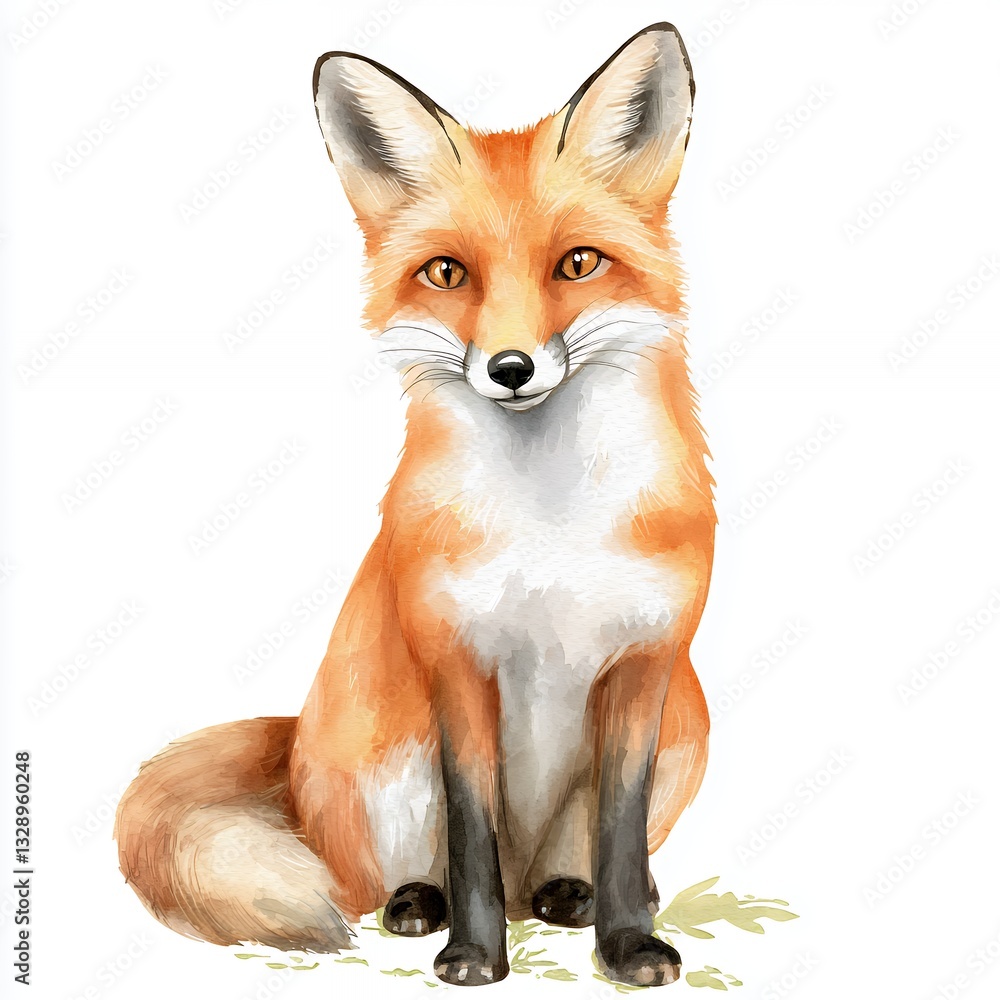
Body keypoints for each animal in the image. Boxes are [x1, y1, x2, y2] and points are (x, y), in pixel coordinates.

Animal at [115, 22, 714, 989]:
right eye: (447, 272)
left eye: (578, 263)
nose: (510, 368)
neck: (550, 528)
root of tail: (292, 741)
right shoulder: (454, 661)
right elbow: (472, 837)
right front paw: (472, 955)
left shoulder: (646, 664)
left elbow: (621, 840)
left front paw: (629, 945)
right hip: (381, 764)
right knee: (384, 878)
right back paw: (418, 906)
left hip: (687, 728)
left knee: (565, 870)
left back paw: (571, 896)